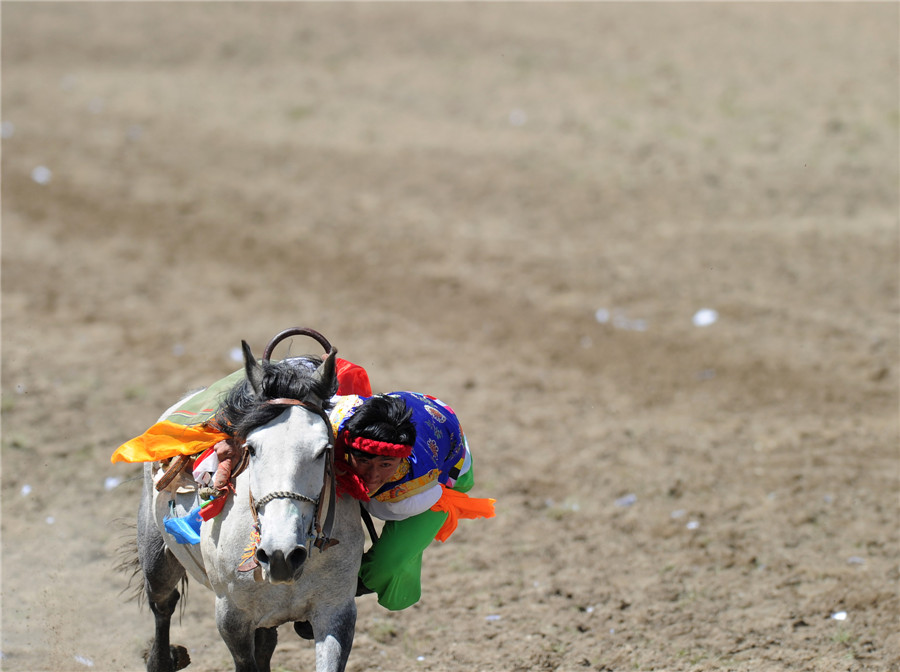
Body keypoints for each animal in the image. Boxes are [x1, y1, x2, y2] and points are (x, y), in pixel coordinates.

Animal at [133, 330, 362, 672]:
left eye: (324, 450)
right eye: (251, 449)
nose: (280, 554)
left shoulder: (337, 612)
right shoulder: (231, 618)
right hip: (156, 558)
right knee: (163, 604)